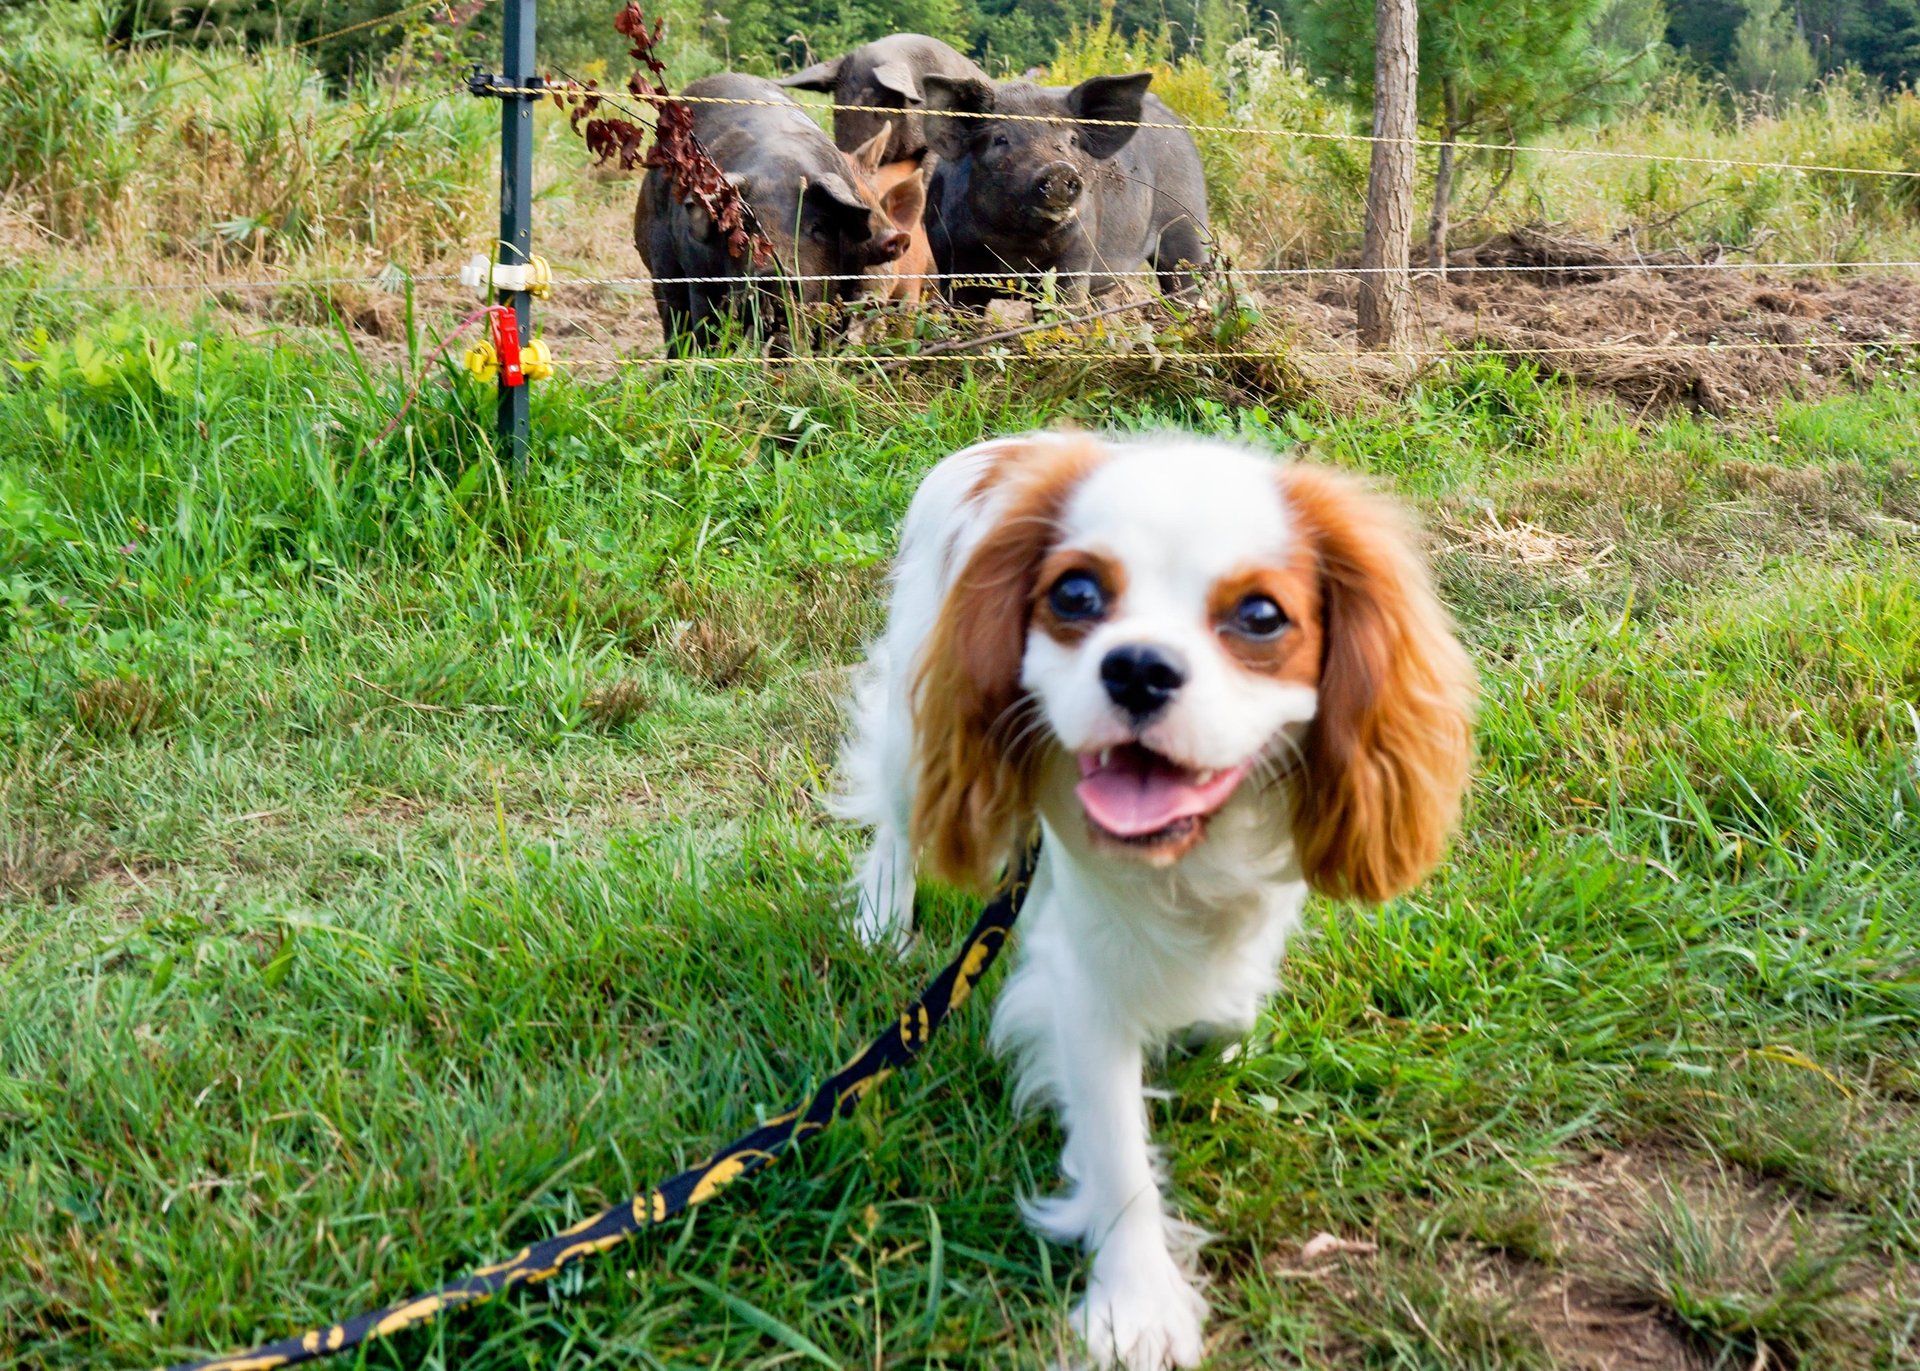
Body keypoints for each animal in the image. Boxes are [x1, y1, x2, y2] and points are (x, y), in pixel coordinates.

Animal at [633, 74, 925, 347]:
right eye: (744, 226)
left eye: (818, 226)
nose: (774, 273)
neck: (779, 169)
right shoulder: (700, 278)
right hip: (660, 260)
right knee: (673, 315)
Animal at [833, 432, 1474, 1367]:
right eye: (1075, 594)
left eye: (1261, 616)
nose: (1138, 666)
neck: (1185, 856)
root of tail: (1012, 442)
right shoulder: (1085, 985)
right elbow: (1118, 1153)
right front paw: (1135, 1305)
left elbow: (1230, 999)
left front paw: (1217, 1031)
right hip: (921, 719)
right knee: (896, 816)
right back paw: (884, 916)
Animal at [917, 72, 1213, 307]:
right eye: (1000, 139)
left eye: (1072, 139)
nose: (1059, 169)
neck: (1017, 244)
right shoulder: (952, 257)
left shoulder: (1080, 247)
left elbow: (1067, 298)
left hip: (1188, 225)